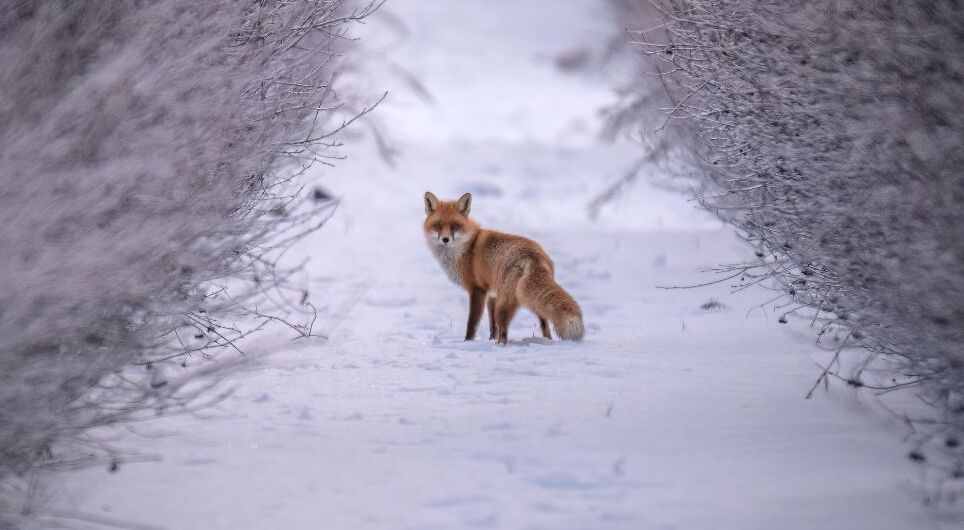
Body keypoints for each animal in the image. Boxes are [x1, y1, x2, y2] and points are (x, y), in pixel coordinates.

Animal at [424, 192, 588, 344]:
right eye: (438, 225)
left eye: (455, 225)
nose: (445, 239)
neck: (465, 247)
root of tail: (535, 255)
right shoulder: (491, 294)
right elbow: (492, 327)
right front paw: (490, 340)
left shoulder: (477, 290)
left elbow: (472, 324)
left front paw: (468, 342)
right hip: (529, 299)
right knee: (544, 326)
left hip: (504, 305)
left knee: (504, 334)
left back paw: (500, 346)